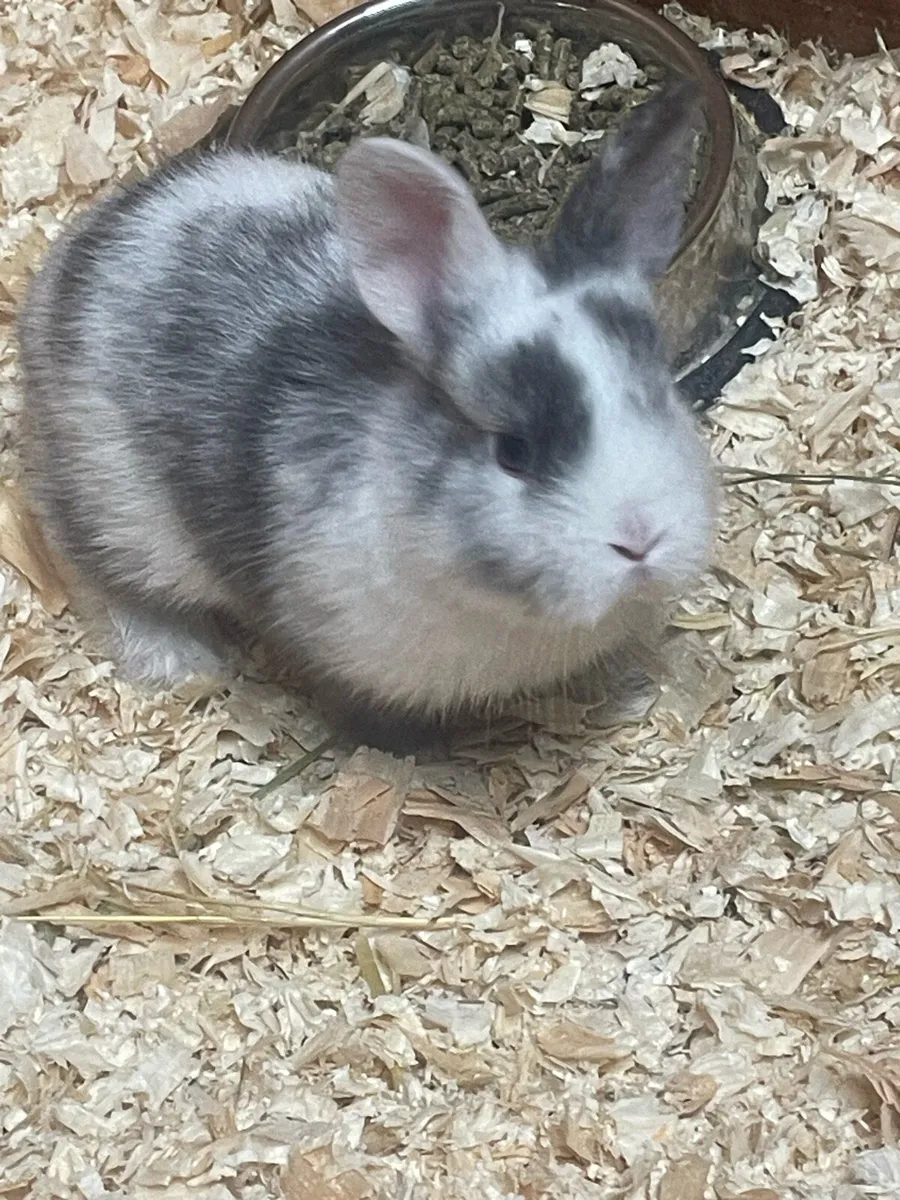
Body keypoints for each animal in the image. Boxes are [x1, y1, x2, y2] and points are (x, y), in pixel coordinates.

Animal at [16, 80, 718, 750]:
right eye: (512, 452)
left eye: (660, 397)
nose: (641, 539)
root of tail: (65, 265)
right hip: (117, 513)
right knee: (102, 578)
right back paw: (181, 664)